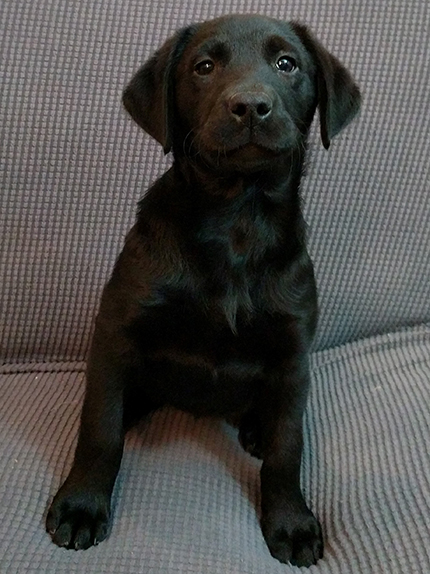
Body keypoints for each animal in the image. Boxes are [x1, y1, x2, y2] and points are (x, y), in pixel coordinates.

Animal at [46, 14, 360, 572]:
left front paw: (291, 521)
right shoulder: (116, 329)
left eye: (287, 63)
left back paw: (256, 430)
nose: (251, 105)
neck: (236, 219)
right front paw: (82, 505)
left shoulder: (292, 354)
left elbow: (288, 448)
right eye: (204, 67)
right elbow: (99, 430)